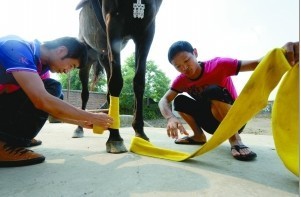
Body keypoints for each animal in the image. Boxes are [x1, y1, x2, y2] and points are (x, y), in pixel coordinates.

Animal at [73, 0, 162, 154]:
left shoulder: (146, 30)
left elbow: (139, 81)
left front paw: (140, 133)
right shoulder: (113, 22)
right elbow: (116, 82)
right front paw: (115, 138)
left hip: (104, 56)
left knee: (108, 91)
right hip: (87, 57)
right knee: (85, 94)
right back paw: (79, 128)